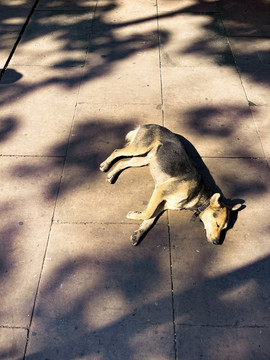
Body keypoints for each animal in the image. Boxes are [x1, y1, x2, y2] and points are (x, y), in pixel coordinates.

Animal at [99, 125, 240, 246]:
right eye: (217, 225)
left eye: (224, 229)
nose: (217, 243)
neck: (198, 195)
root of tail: (151, 125)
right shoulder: (160, 191)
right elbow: (148, 213)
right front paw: (134, 215)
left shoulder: (163, 204)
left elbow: (150, 219)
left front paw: (138, 233)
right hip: (139, 148)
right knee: (117, 151)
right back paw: (105, 165)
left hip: (144, 159)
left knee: (123, 163)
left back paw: (112, 175)